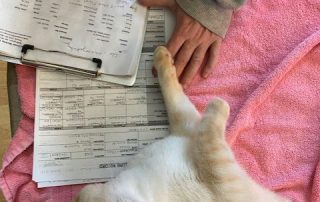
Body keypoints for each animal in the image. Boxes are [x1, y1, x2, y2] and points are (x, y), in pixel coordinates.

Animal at [75, 46, 290, 202]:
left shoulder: (186, 126)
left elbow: (171, 89)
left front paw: (162, 55)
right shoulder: (221, 173)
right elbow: (209, 137)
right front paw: (219, 104)